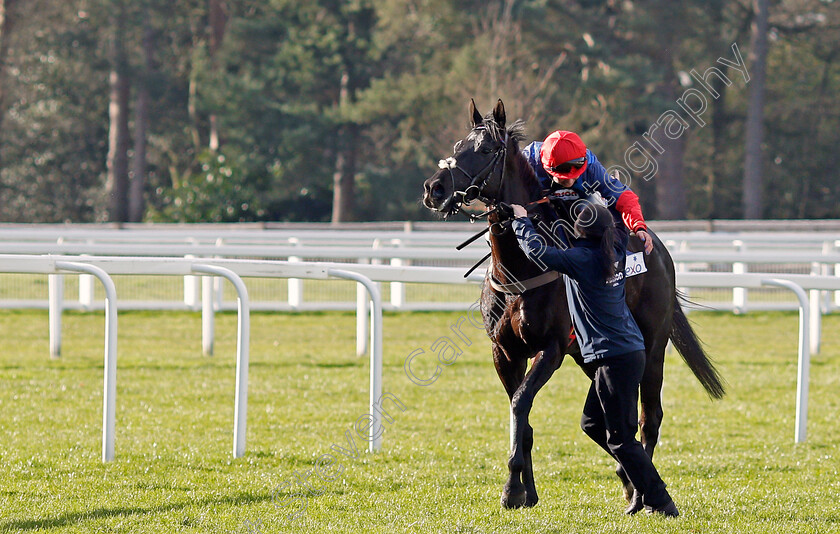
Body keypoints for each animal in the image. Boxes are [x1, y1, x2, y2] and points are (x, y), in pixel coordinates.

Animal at [424, 98, 724, 512]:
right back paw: (629, 480)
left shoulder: (550, 348)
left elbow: (520, 403)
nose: (434, 188)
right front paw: (526, 492)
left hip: (652, 347)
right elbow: (521, 415)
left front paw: (512, 488)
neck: (520, 270)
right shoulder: (504, 352)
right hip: (588, 356)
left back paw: (644, 496)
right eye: (457, 146)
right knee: (606, 424)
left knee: (648, 418)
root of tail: (658, 249)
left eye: (485, 150)